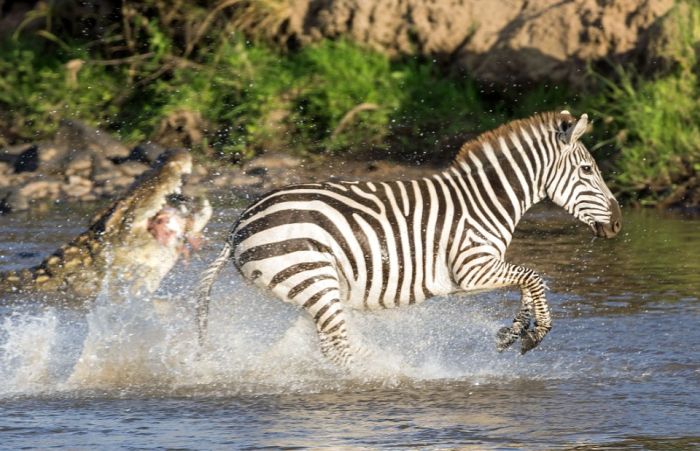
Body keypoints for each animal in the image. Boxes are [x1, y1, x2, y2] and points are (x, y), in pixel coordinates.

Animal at [194, 111, 620, 370]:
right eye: (587, 170)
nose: (617, 223)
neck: (484, 200)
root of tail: (238, 223)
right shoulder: (470, 268)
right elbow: (534, 276)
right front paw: (536, 333)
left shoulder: (483, 270)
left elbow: (527, 283)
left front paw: (513, 333)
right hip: (313, 279)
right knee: (339, 346)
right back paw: (394, 372)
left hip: (310, 290)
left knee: (313, 345)